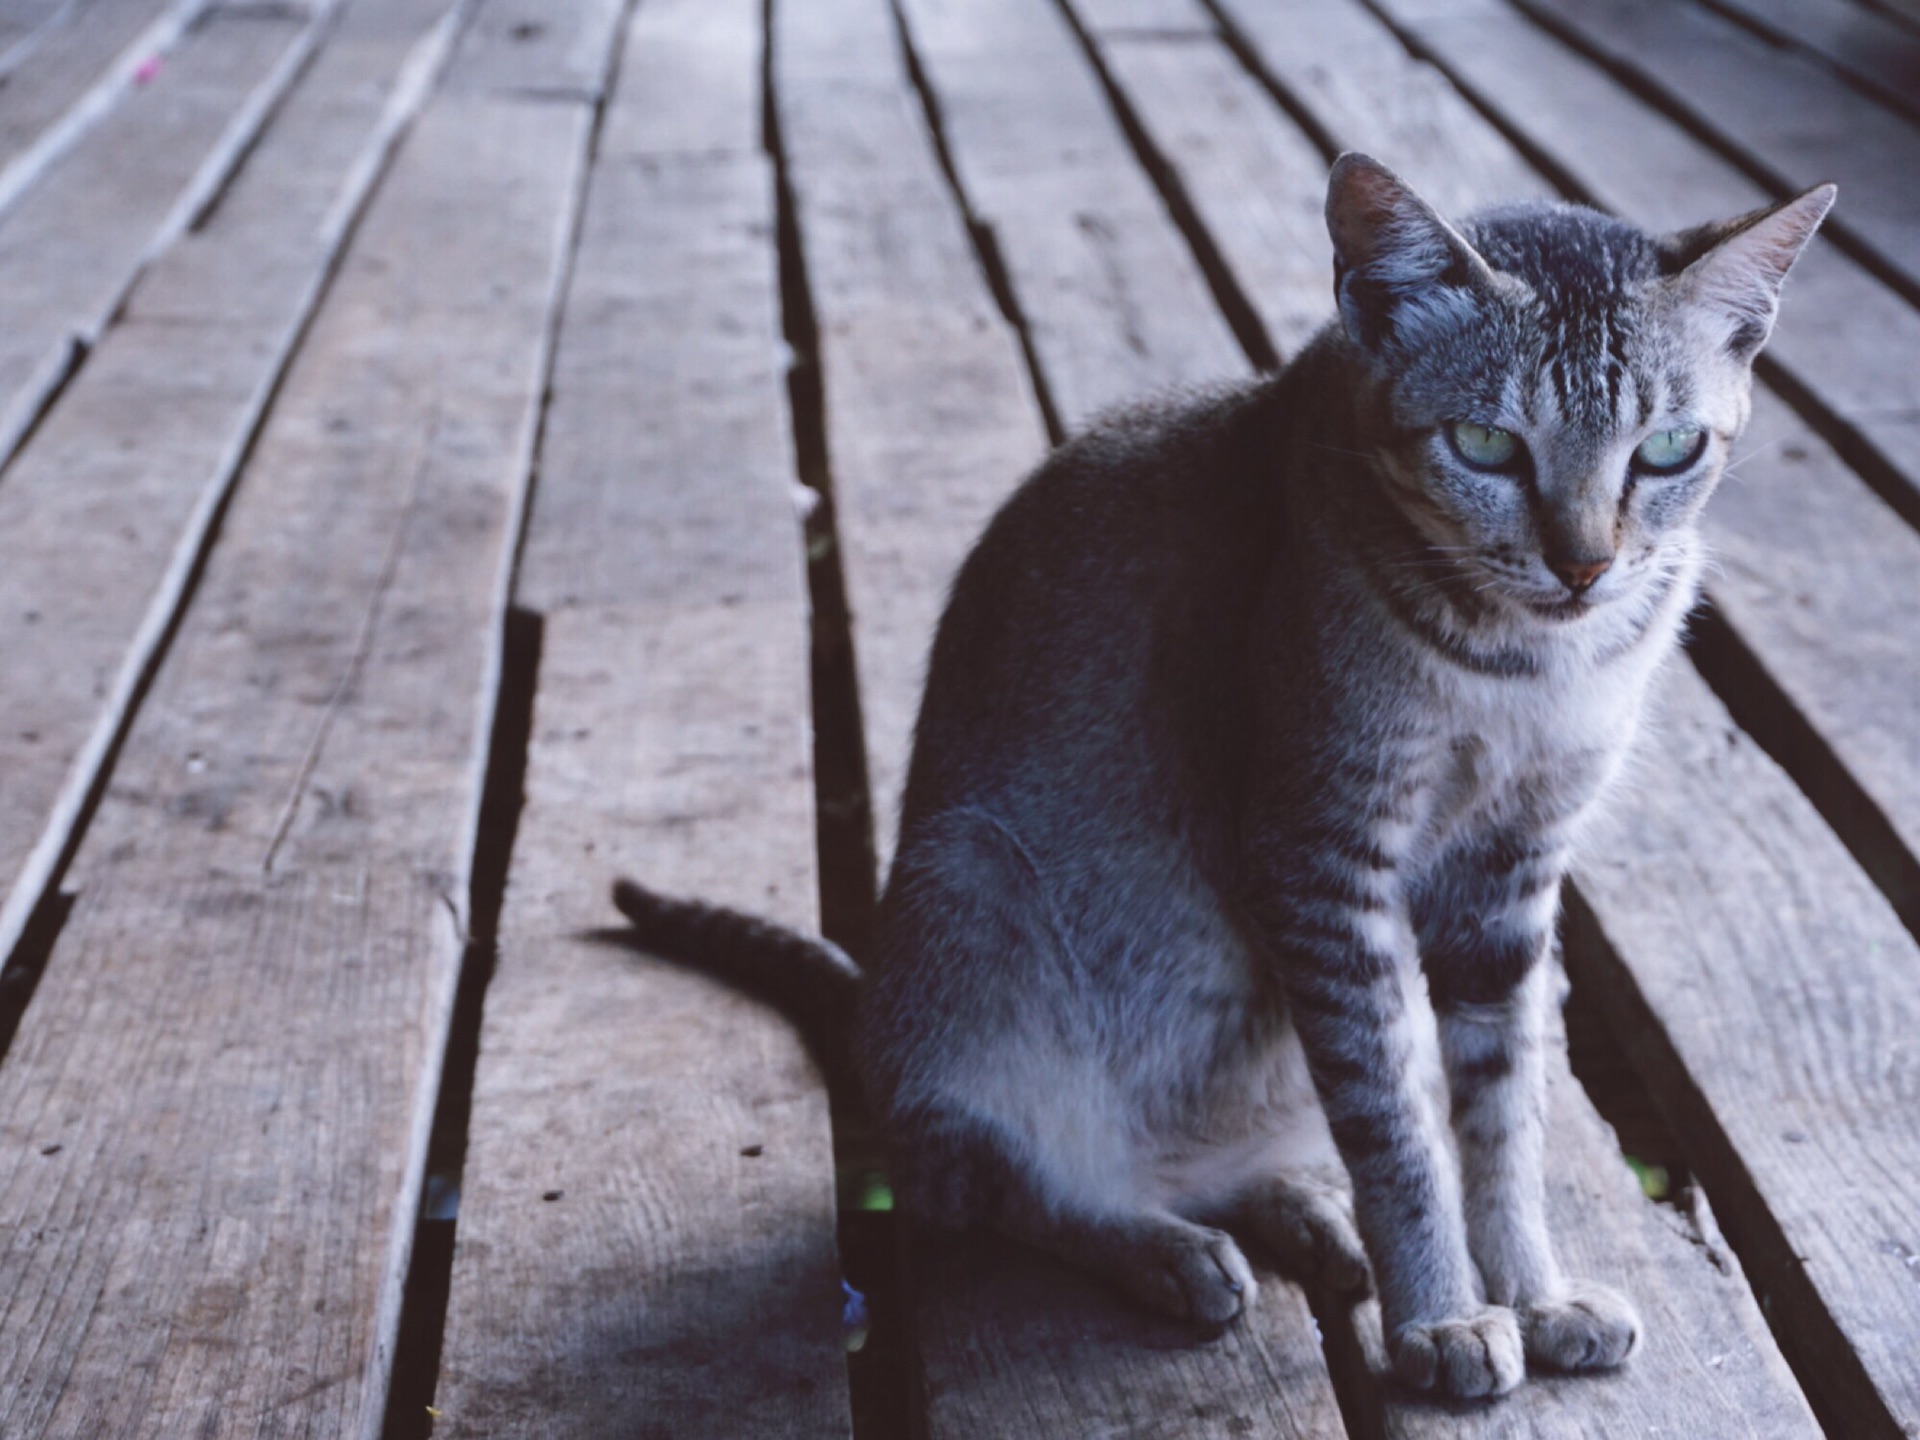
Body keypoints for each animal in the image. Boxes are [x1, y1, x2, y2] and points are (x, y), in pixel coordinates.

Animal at [610, 155, 1827, 1397]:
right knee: (1011, 1187)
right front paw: (1440, 1313)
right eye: (1485, 445)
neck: (1534, 664)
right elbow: (1395, 1122)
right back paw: (1164, 1248)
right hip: (971, 909)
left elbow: (1499, 1117)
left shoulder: (1513, 880)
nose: (1584, 565)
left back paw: (1299, 1209)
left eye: (1669, 450)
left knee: (1213, 1162)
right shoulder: (1320, 854)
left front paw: (1534, 1293)